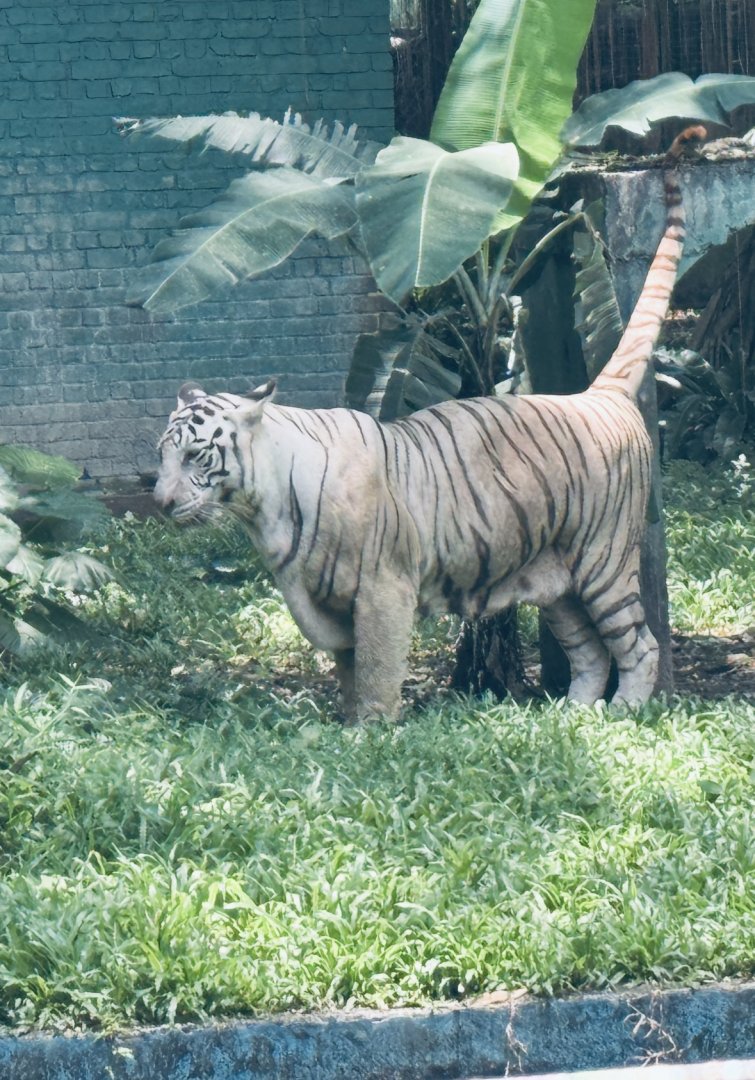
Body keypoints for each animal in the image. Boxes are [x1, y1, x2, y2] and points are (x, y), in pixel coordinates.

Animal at [154, 126, 706, 722]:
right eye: (160, 457)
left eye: (195, 455)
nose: (159, 502)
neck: (262, 507)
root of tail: (599, 395)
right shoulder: (325, 601)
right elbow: (349, 671)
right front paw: (347, 723)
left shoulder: (381, 588)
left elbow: (376, 670)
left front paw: (370, 730)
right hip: (554, 580)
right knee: (589, 651)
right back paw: (574, 714)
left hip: (602, 561)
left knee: (638, 643)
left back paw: (624, 710)